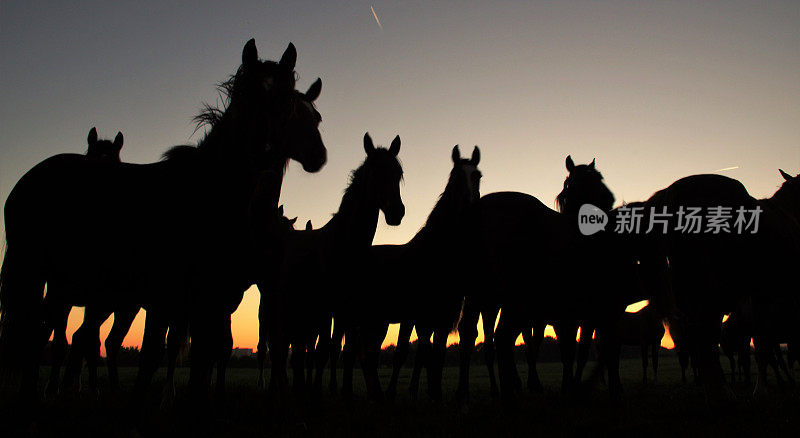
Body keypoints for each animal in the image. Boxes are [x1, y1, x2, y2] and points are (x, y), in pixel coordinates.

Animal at [0, 39, 326, 412]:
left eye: (292, 104)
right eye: (246, 96)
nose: (316, 154)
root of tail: (29, 178)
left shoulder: (208, 300)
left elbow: (202, 359)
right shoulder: (170, 299)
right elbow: (156, 356)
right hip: (42, 276)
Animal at [260, 134, 404, 404]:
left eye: (398, 173)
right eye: (374, 173)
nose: (396, 212)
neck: (343, 246)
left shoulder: (348, 310)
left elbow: (344, 351)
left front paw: (343, 391)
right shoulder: (328, 311)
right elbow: (323, 351)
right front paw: (317, 391)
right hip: (286, 309)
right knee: (280, 347)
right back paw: (283, 389)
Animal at [332, 145, 478, 402]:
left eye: (477, 176)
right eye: (455, 178)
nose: (470, 208)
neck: (434, 252)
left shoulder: (440, 318)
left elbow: (434, 356)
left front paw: (432, 394)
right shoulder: (423, 319)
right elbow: (423, 355)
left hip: (374, 322)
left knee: (362, 353)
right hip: (351, 318)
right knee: (349, 352)